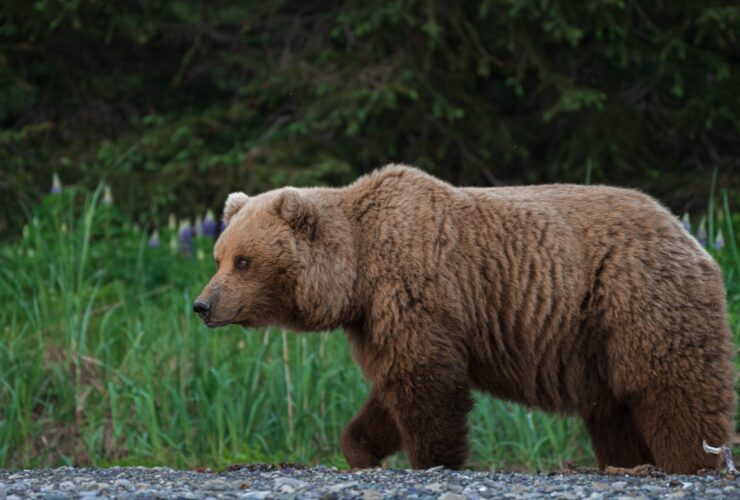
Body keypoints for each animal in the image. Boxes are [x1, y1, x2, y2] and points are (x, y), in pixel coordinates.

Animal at [194, 166, 736, 474]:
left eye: (244, 260)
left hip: (634, 298)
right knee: (615, 410)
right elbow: (392, 388)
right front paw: (362, 448)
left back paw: (691, 462)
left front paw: (434, 459)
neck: (359, 272)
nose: (202, 305)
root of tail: (687, 234)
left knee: (671, 384)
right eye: (219, 256)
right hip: (597, 342)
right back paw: (628, 463)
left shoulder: (416, 290)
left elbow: (426, 385)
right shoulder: (376, 319)